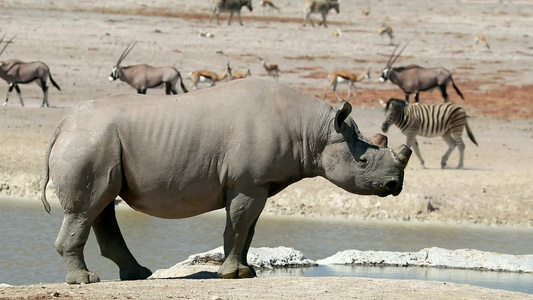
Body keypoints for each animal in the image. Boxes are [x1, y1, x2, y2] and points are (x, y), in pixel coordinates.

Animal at [41, 77, 410, 284]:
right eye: (362, 162)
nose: (395, 186)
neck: (314, 131)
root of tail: (62, 125)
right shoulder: (247, 182)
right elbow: (238, 225)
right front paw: (232, 274)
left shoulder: (260, 184)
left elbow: (248, 229)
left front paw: (246, 271)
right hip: (90, 141)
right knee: (86, 209)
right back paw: (85, 281)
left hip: (97, 142)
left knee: (101, 205)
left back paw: (137, 275)